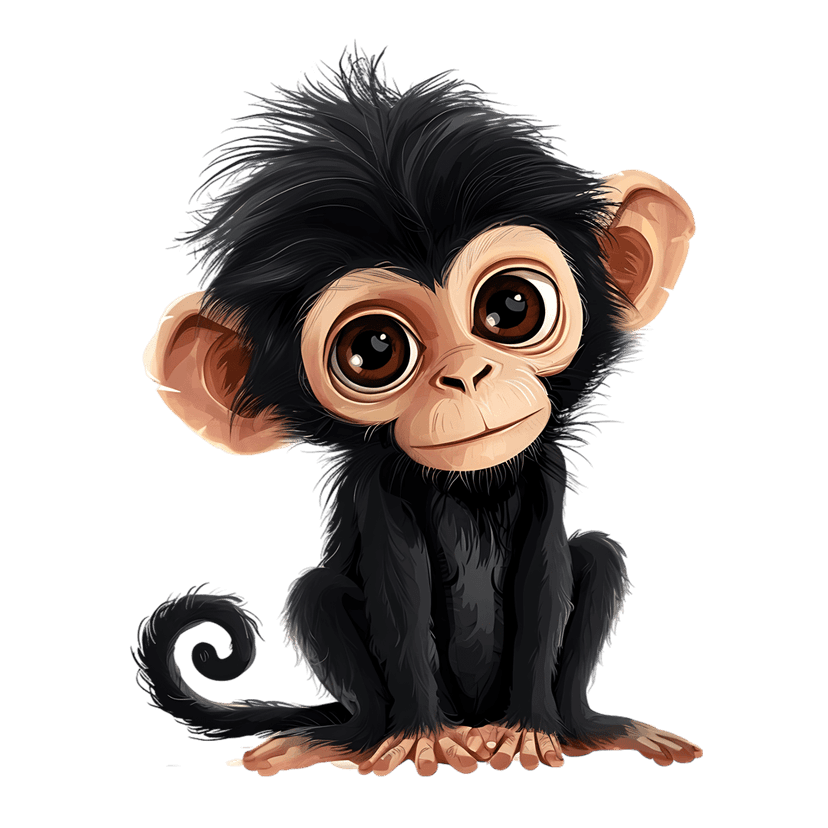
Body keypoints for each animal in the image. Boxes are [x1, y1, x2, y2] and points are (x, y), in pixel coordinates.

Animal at [133, 44, 700, 777]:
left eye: (512, 306)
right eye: (373, 350)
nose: (465, 376)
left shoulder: (542, 469)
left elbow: (546, 578)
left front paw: (532, 730)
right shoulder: (379, 488)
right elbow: (399, 592)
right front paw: (422, 737)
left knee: (599, 555)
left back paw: (586, 727)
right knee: (313, 594)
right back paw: (345, 737)